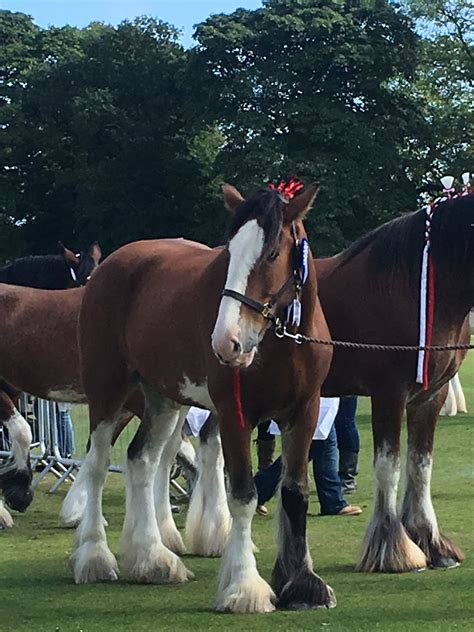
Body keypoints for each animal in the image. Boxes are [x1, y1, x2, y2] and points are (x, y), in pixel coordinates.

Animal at [316, 193, 472, 572]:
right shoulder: (389, 393)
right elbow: (389, 468)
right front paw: (392, 549)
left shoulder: (430, 395)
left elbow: (420, 466)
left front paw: (432, 544)